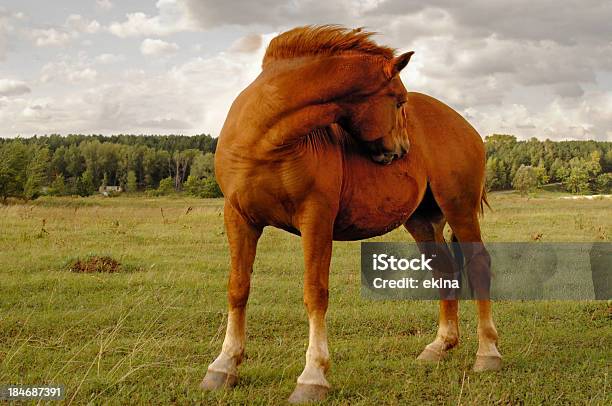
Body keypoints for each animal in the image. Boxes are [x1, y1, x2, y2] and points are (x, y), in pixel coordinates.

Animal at [201, 26, 502, 402]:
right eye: (398, 100)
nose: (403, 149)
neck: (264, 141)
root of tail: (465, 126)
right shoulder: (240, 219)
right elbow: (238, 288)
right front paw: (223, 366)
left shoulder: (316, 219)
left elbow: (315, 293)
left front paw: (312, 377)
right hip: (423, 221)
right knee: (445, 270)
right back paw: (439, 346)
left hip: (459, 208)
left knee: (478, 264)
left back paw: (487, 353)